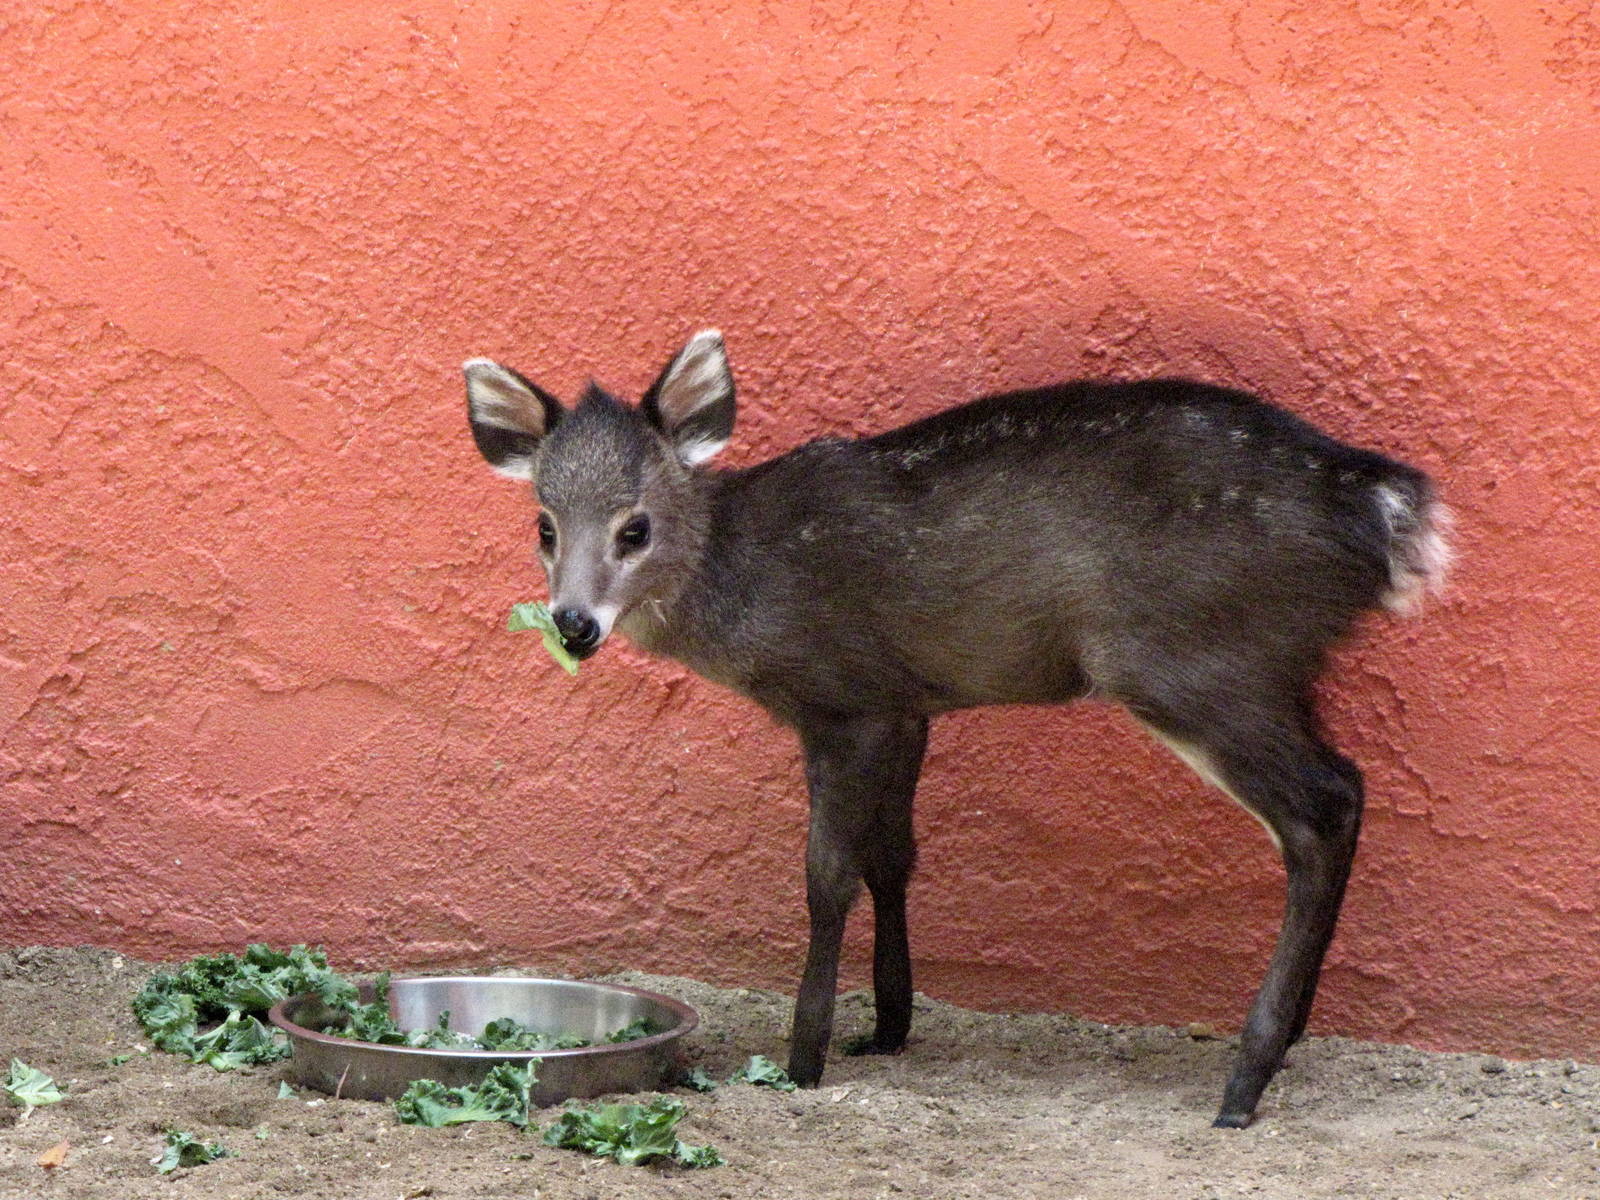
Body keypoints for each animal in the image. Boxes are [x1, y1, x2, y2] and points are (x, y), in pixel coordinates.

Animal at [461, 329, 1450, 1128]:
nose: (573, 625)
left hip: (1191, 661)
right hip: (1273, 670)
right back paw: (1288, 1043)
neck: (746, 579)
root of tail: (1388, 514)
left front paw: (803, 1057)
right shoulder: (906, 706)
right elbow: (893, 858)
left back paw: (1244, 1079)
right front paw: (888, 1025)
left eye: (635, 528)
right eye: (544, 525)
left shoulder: (843, 700)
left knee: (1324, 802)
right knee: (1345, 790)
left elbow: (827, 878)